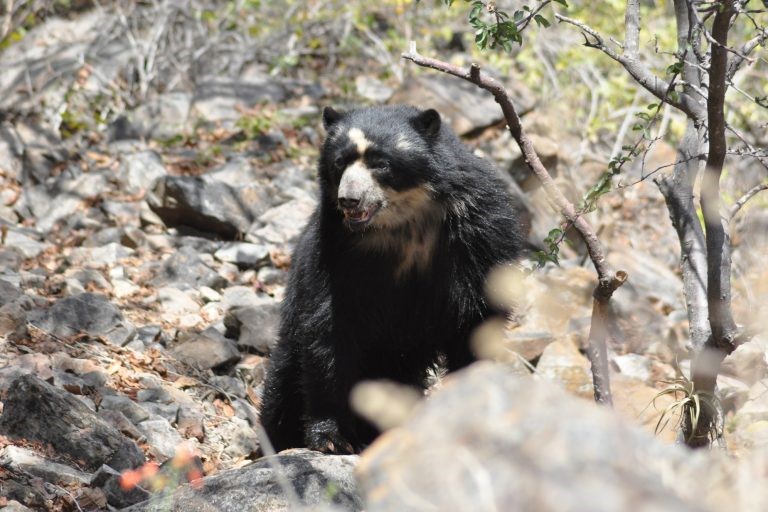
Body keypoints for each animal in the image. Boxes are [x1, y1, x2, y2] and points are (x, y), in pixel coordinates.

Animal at [259, 105, 524, 454]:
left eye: (380, 163)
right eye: (339, 162)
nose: (349, 200)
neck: (403, 223)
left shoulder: (478, 235)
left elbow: (477, 320)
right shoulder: (333, 248)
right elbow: (328, 328)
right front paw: (331, 438)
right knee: (283, 386)